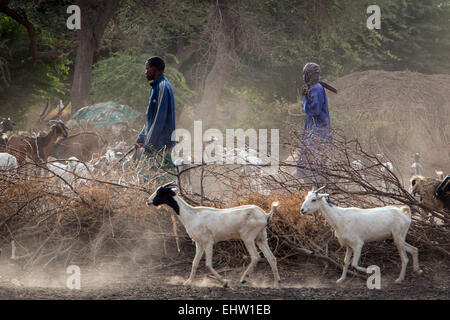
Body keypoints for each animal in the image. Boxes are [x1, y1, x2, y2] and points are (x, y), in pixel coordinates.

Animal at [147, 181, 282, 288]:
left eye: (160, 192)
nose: (148, 201)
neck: (192, 214)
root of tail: (265, 215)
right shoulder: (199, 243)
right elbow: (195, 263)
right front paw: (188, 282)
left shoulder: (208, 242)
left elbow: (207, 264)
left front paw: (225, 282)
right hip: (261, 238)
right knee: (271, 258)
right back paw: (276, 284)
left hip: (248, 238)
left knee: (255, 257)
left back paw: (244, 279)